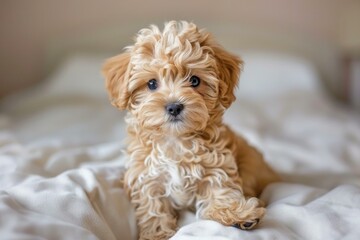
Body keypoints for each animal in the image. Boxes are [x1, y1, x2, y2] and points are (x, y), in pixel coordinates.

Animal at [102, 21, 280, 239]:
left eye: (194, 80)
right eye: (151, 83)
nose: (174, 106)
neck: (175, 140)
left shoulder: (217, 166)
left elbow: (221, 192)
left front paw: (238, 214)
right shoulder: (147, 176)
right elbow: (153, 208)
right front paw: (157, 234)